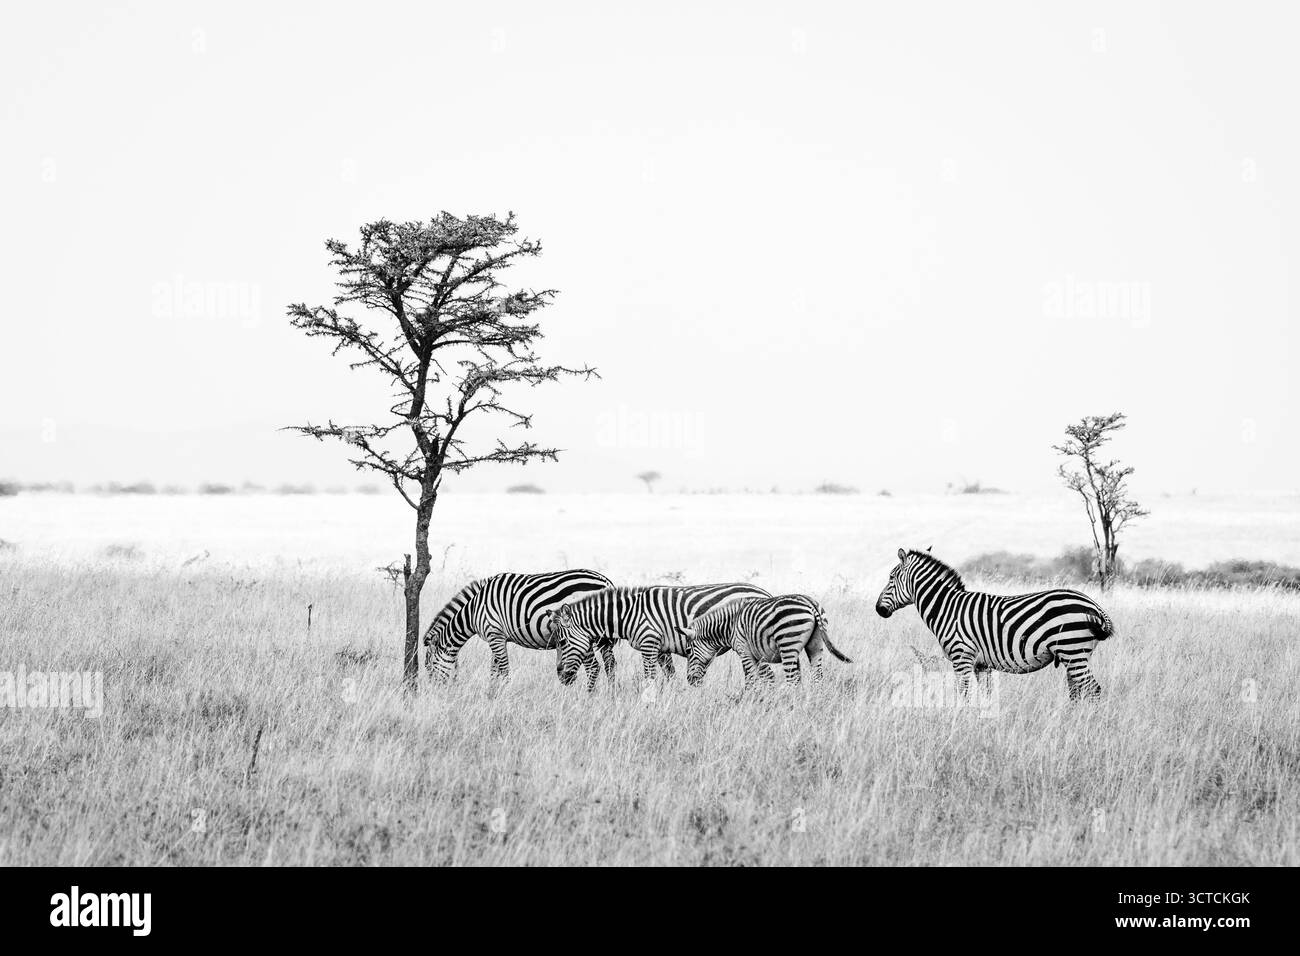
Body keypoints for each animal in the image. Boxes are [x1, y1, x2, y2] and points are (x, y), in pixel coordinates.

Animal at [423, 569, 616, 687]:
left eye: (428, 667)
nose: (434, 695)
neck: (474, 608)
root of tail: (605, 581)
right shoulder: (497, 637)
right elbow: (494, 670)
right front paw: (492, 695)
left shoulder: (494, 634)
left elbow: (503, 670)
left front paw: (502, 698)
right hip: (602, 635)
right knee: (610, 664)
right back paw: (611, 696)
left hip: (583, 634)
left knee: (593, 667)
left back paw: (588, 700)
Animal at [551, 583, 770, 686]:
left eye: (562, 642)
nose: (561, 677)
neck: (629, 614)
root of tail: (764, 592)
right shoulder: (661, 648)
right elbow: (670, 675)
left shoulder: (649, 643)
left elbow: (649, 677)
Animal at [681, 594, 853, 688]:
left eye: (688, 651)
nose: (689, 680)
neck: (729, 625)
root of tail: (809, 603)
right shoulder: (758, 655)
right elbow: (765, 678)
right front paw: (764, 701)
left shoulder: (744, 651)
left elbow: (751, 679)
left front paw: (750, 702)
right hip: (816, 644)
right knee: (817, 677)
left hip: (788, 643)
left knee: (792, 681)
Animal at [874, 548, 1115, 700]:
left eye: (891, 578)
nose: (878, 609)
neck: (947, 607)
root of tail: (1094, 605)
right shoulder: (982, 665)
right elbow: (986, 696)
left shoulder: (961, 657)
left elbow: (963, 695)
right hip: (1074, 654)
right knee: (1078, 691)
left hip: (1072, 650)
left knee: (1093, 689)